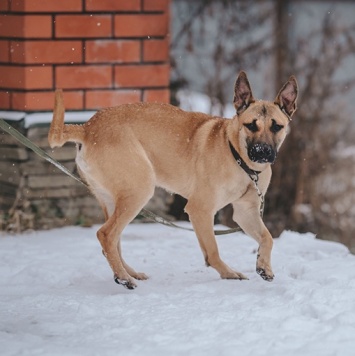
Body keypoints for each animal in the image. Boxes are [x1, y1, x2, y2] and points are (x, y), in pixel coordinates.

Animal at [48, 71, 298, 290]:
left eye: (277, 126)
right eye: (251, 125)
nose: (263, 152)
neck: (238, 157)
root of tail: (88, 128)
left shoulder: (245, 212)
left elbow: (267, 237)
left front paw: (264, 266)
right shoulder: (200, 210)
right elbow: (213, 250)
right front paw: (228, 273)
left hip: (113, 198)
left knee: (112, 241)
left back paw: (129, 273)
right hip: (139, 190)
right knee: (106, 235)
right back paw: (123, 278)